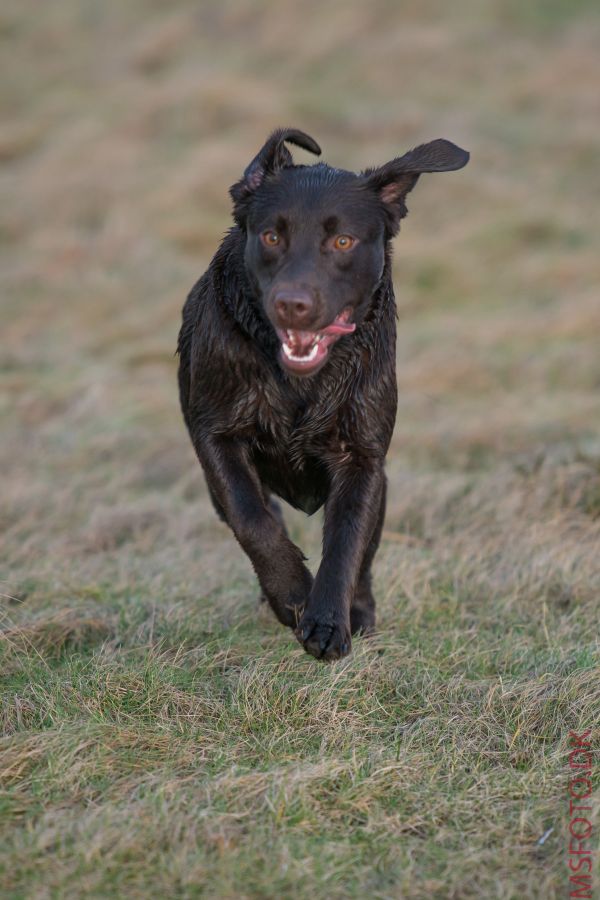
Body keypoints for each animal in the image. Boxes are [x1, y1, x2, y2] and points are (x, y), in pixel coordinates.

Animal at [178, 128, 468, 660]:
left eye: (343, 240)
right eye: (271, 236)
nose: (292, 304)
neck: (300, 384)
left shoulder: (363, 457)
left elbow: (348, 541)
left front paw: (331, 621)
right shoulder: (215, 436)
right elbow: (252, 519)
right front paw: (293, 594)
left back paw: (361, 610)